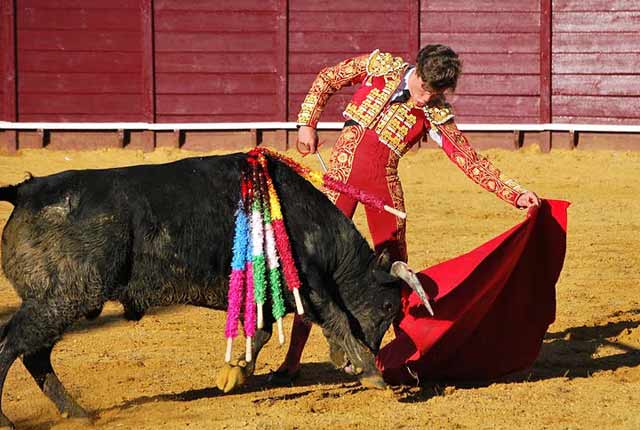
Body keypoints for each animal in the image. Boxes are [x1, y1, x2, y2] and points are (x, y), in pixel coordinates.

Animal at [0, 152, 428, 426]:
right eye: (388, 307)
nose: (350, 362)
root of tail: (26, 191)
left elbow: (260, 332)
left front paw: (234, 373)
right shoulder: (311, 283)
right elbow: (335, 317)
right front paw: (373, 373)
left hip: (57, 301)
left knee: (34, 354)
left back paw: (78, 413)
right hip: (64, 297)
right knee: (12, 345)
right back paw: (9, 418)